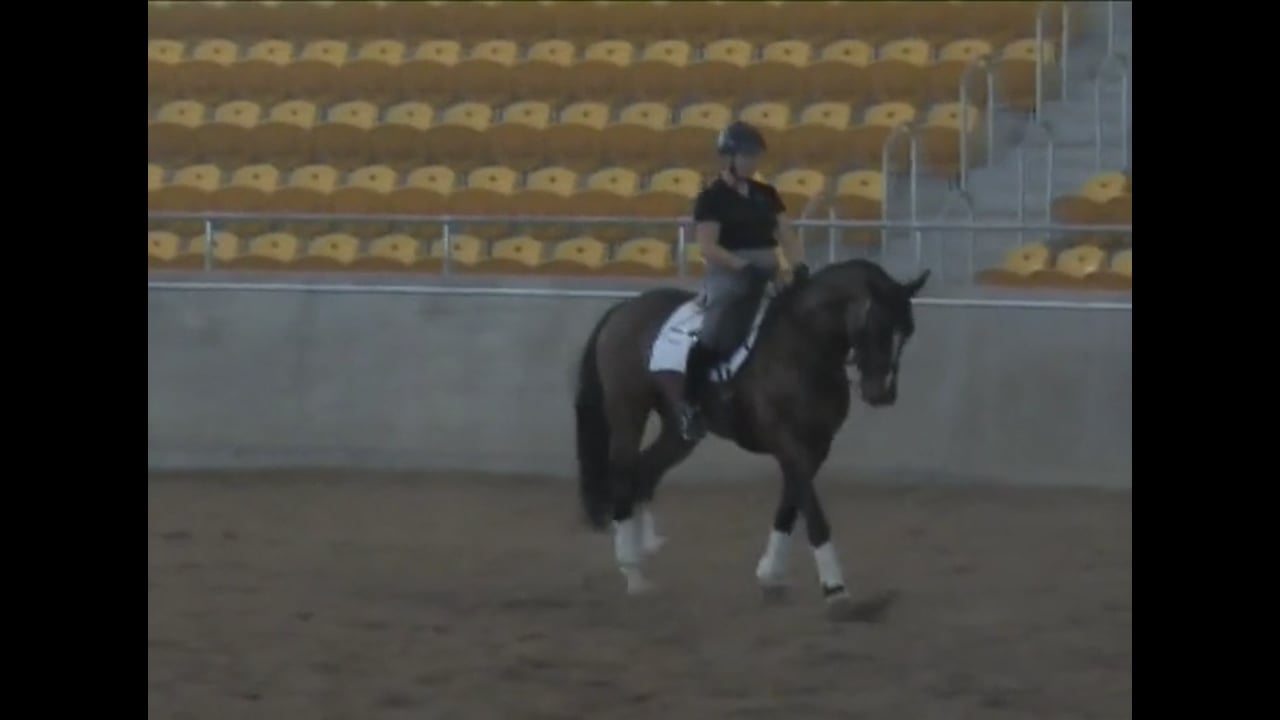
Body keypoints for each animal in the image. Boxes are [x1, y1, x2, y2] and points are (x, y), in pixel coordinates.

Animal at [572, 258, 930, 621]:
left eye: (908, 331)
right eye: (876, 327)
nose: (882, 393)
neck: (803, 345)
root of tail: (625, 308)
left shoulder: (817, 447)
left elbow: (789, 507)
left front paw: (770, 577)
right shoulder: (789, 443)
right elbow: (814, 514)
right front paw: (835, 590)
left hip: (680, 430)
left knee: (645, 471)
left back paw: (646, 547)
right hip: (627, 413)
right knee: (623, 475)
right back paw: (633, 574)